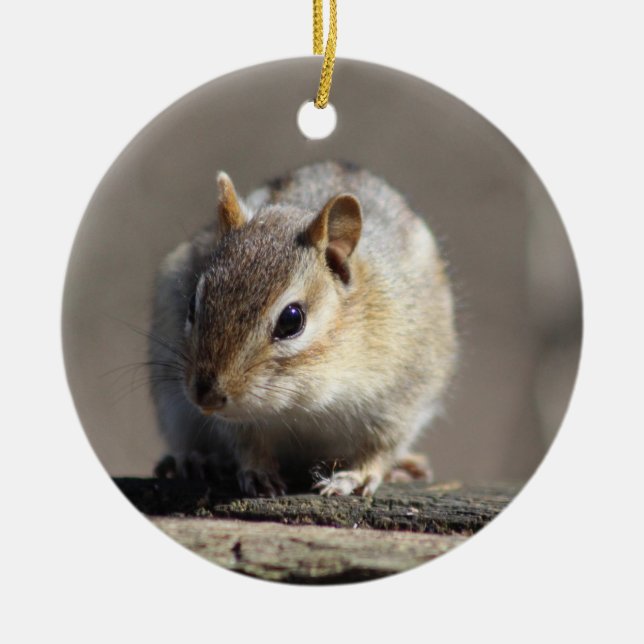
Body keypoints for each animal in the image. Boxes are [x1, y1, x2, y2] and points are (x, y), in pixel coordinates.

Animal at [149, 161, 457, 497]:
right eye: (192, 304)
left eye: (292, 319)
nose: (205, 396)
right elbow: (245, 439)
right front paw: (257, 470)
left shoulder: (401, 395)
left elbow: (380, 447)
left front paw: (356, 477)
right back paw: (197, 459)